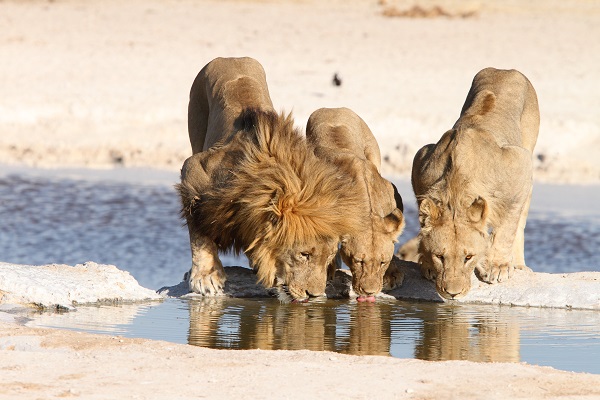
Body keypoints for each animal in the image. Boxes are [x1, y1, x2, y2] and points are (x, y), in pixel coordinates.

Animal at [178, 57, 364, 304]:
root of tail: (230, 57)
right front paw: (206, 276)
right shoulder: (193, 170)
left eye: (328, 257)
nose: (314, 296)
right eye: (304, 254)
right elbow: (199, 232)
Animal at [308, 108, 406, 302]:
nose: (370, 292)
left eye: (383, 262)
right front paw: (328, 269)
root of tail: (332, 108)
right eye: (358, 261)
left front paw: (392, 275)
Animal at [412, 69, 540, 298]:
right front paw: (426, 263)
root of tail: (505, 69)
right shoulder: (421, 162)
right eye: (440, 257)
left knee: (520, 220)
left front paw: (498, 266)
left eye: (468, 257)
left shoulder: (520, 165)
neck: (456, 189)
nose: (452, 293)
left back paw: (518, 264)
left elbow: (508, 226)